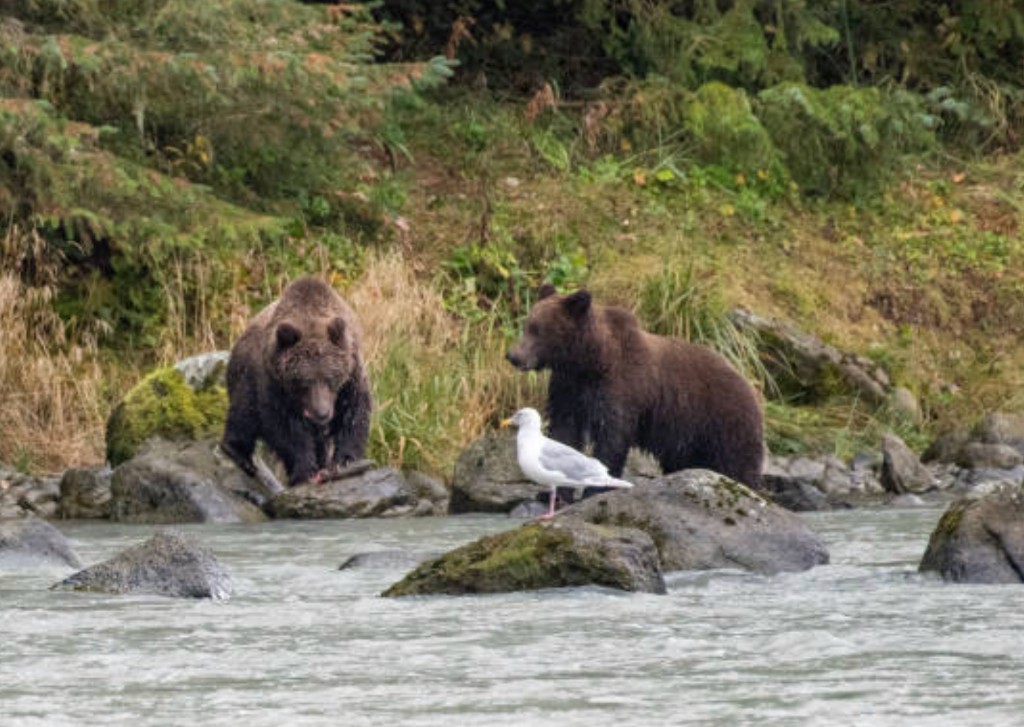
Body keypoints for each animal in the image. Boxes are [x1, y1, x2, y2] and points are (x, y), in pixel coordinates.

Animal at [220, 276, 372, 487]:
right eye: (303, 382)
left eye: (331, 378)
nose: (321, 413)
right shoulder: (275, 384)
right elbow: (286, 428)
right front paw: (304, 470)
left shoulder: (351, 376)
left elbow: (354, 412)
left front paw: (344, 459)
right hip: (245, 377)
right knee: (244, 412)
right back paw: (239, 454)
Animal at [506, 284, 764, 490]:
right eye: (527, 325)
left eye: (538, 329)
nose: (513, 356)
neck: (590, 362)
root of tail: (750, 385)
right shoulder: (569, 389)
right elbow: (564, 432)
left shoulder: (621, 389)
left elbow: (612, 438)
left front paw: (597, 487)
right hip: (688, 438)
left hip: (723, 422)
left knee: (737, 464)